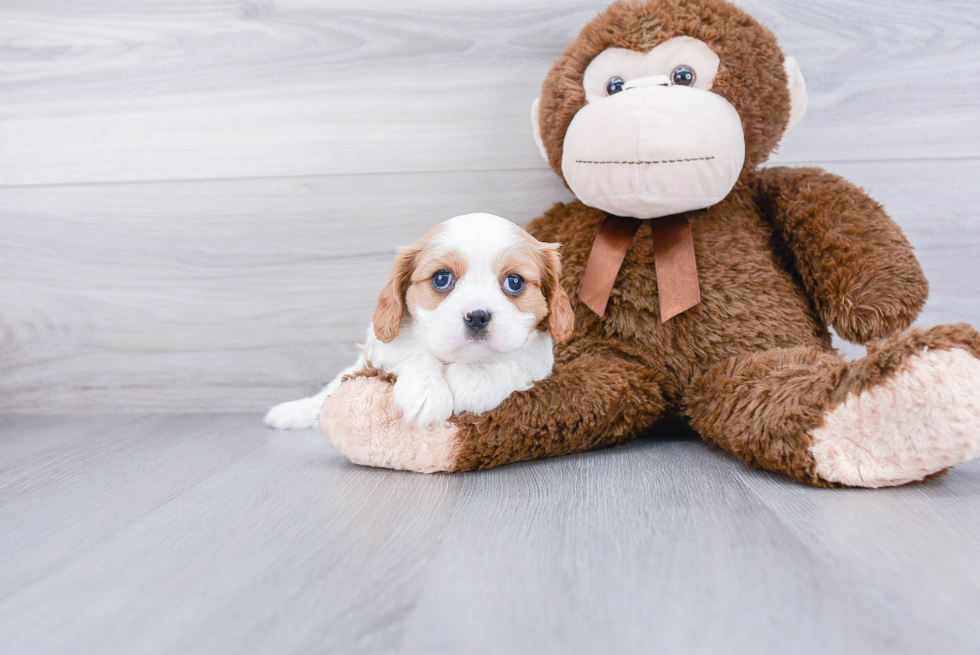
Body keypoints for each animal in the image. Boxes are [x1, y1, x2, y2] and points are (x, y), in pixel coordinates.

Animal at [264, 211, 580, 430]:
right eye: (441, 278)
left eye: (514, 282)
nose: (477, 316)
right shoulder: (381, 345)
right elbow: (412, 353)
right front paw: (426, 392)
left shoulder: (541, 356)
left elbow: (515, 358)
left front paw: (474, 382)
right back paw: (292, 411)